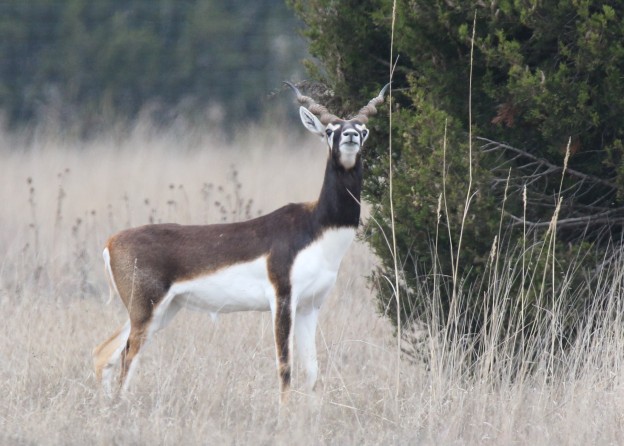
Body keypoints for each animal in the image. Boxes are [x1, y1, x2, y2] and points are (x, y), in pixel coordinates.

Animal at [91, 81, 390, 404]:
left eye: (362, 129)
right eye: (330, 130)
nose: (349, 136)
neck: (317, 227)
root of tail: (111, 242)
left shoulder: (310, 306)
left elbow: (312, 372)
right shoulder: (282, 300)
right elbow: (285, 367)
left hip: (162, 311)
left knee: (103, 353)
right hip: (145, 311)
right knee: (126, 359)